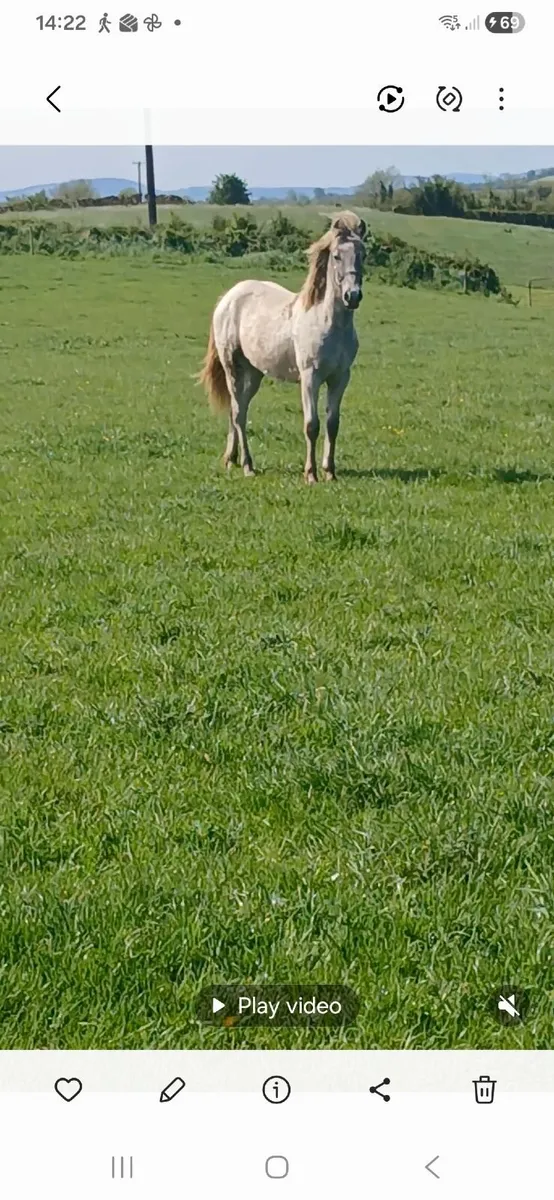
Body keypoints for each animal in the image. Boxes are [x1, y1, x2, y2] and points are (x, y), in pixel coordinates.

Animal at [199, 211, 366, 483]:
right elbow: (311, 425)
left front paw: (329, 472)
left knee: (237, 409)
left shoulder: (340, 378)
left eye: (364, 254)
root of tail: (228, 298)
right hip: (232, 367)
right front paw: (310, 474)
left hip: (254, 373)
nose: (352, 296)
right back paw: (247, 466)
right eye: (336, 256)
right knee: (238, 413)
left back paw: (230, 459)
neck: (327, 322)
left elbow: (332, 424)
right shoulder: (310, 377)